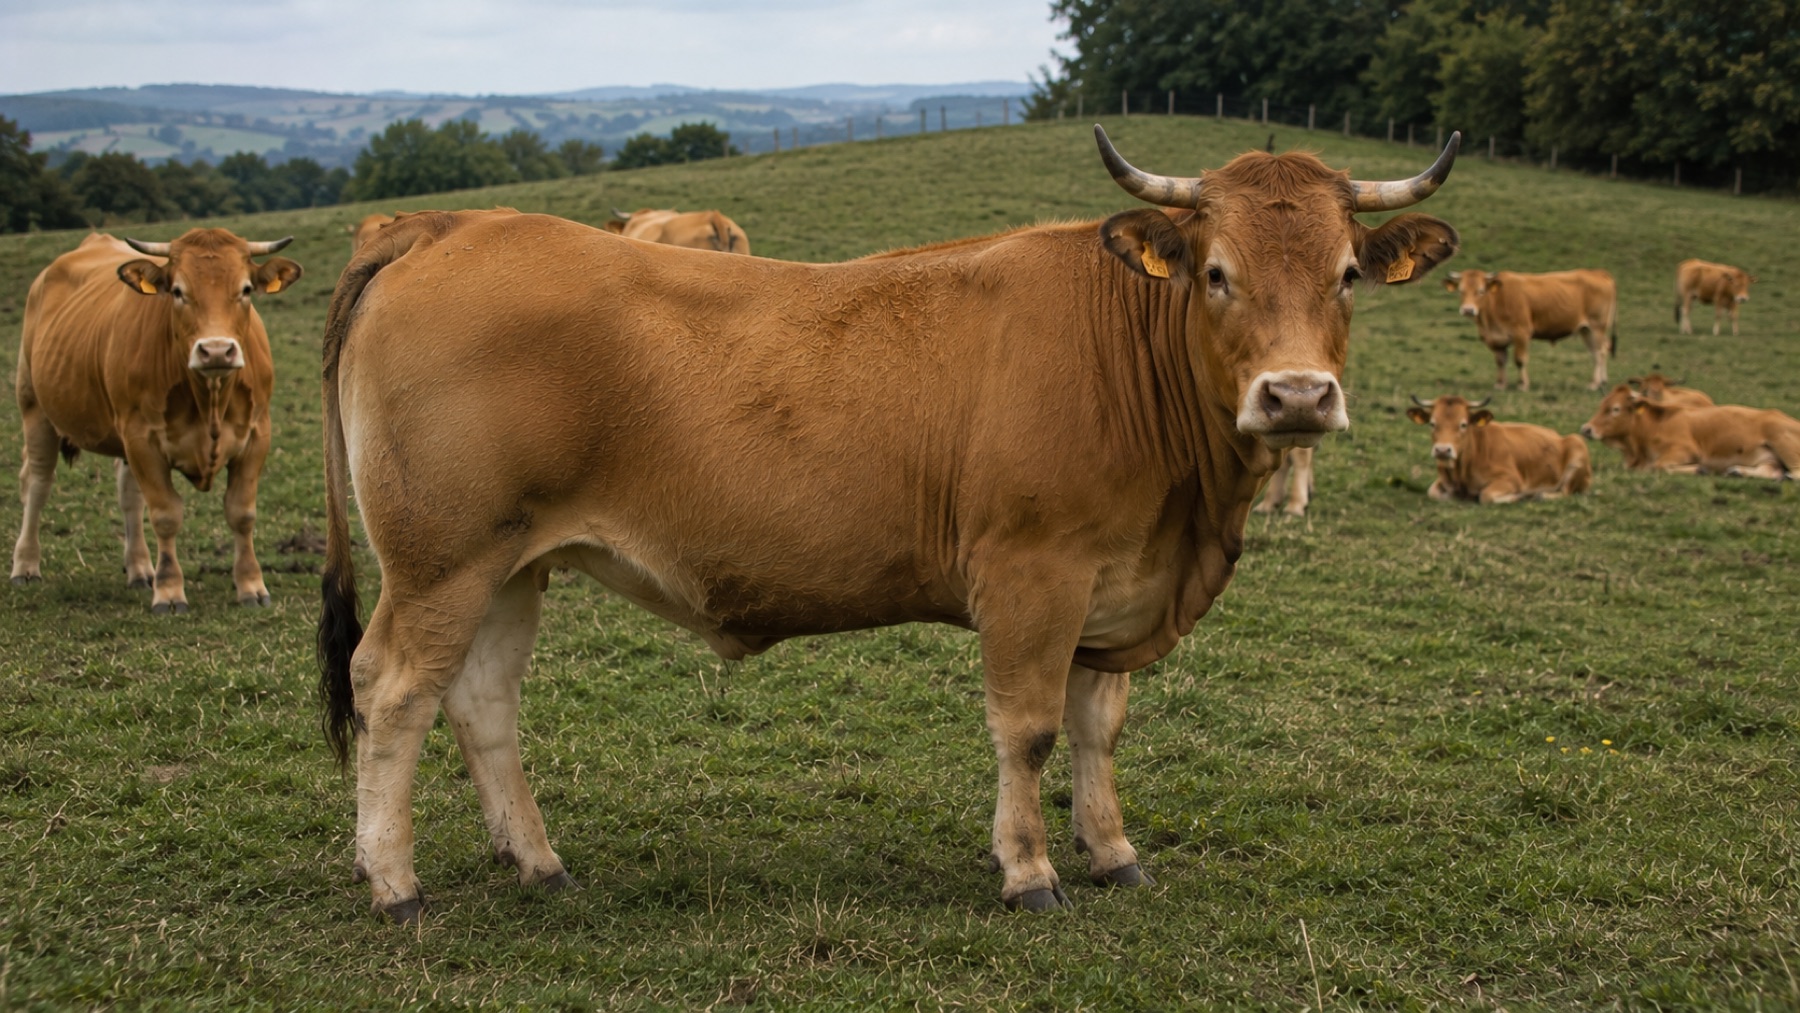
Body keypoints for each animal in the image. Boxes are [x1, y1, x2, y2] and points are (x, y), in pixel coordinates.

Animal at [12, 229, 302, 612]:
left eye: (246, 290)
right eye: (177, 291)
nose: (216, 350)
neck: (209, 397)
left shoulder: (256, 435)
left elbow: (241, 513)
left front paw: (252, 586)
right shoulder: (142, 439)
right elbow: (165, 515)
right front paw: (169, 591)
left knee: (128, 495)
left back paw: (139, 570)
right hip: (35, 408)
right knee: (38, 482)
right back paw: (25, 566)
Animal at [1406, 395, 1591, 503]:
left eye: (1463, 424)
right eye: (1432, 423)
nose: (1443, 450)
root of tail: (1560, 436)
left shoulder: (1511, 479)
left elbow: (1486, 496)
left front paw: (1518, 496)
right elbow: (1432, 492)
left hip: (1576, 449)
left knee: (1566, 491)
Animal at [1444, 269, 1617, 391]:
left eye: (1481, 291)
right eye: (1461, 291)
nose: (1468, 310)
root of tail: (1596, 272)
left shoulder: (1521, 333)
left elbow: (1520, 360)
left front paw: (1522, 384)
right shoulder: (1495, 339)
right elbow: (1500, 361)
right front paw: (1500, 384)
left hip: (1597, 327)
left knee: (1600, 352)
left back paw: (1596, 383)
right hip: (1585, 330)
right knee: (1596, 352)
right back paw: (1601, 381)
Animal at [1580, 385, 1800, 478]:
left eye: (1615, 409)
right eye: (1602, 405)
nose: (1586, 429)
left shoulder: (1686, 450)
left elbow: (1659, 466)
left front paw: (1699, 469)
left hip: (1782, 441)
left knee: (1794, 473)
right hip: (1769, 458)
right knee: (1772, 470)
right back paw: (1738, 471)